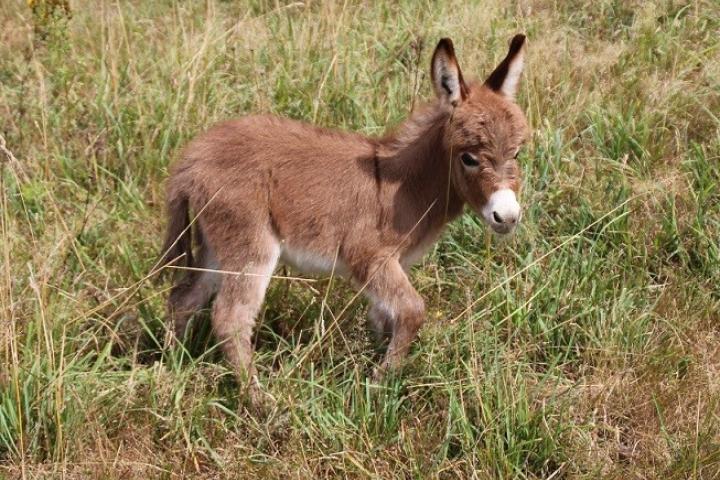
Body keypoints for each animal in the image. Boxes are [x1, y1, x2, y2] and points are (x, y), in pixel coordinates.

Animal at [162, 36, 528, 390]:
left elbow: (383, 319)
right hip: (250, 246)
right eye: (468, 157)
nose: (507, 217)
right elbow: (412, 312)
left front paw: (377, 373)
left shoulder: (393, 265)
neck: (405, 184)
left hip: (215, 247)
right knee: (231, 319)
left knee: (183, 298)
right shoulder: (369, 257)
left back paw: (173, 367)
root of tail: (193, 157)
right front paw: (378, 386)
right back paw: (259, 400)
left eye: (516, 153)